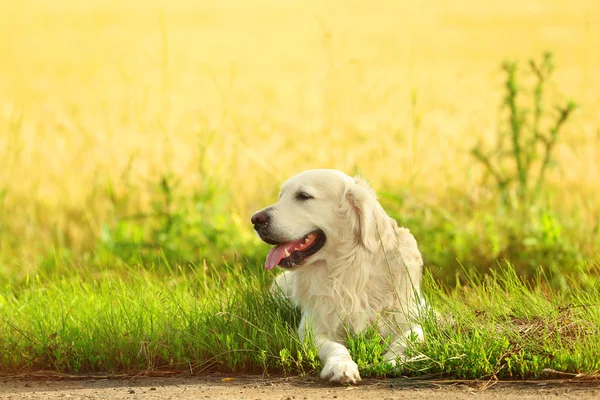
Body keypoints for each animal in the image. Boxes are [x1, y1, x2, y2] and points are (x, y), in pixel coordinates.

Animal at [251, 169, 424, 384]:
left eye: (303, 196)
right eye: (281, 196)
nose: (255, 219)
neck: (348, 270)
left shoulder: (416, 315)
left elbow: (411, 337)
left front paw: (394, 360)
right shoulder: (313, 328)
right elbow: (335, 347)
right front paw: (341, 366)